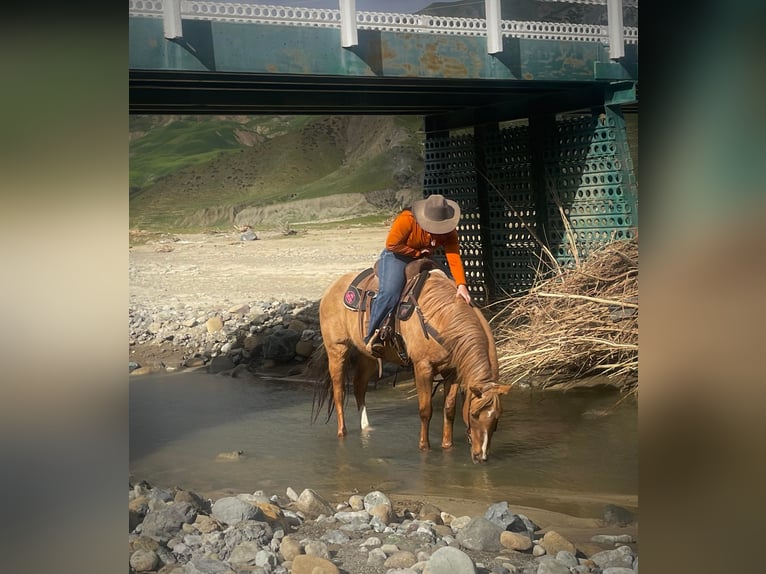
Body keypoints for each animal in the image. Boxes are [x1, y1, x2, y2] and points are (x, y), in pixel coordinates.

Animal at [316, 266, 512, 464]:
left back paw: (366, 428)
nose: (481, 456)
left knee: (359, 387)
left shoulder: (452, 372)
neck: (440, 317)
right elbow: (426, 410)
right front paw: (424, 447)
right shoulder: (423, 368)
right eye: (474, 415)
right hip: (337, 349)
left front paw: (447, 445)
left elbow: (449, 409)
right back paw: (342, 432)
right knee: (339, 392)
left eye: (496, 418)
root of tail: (331, 289)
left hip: (368, 355)